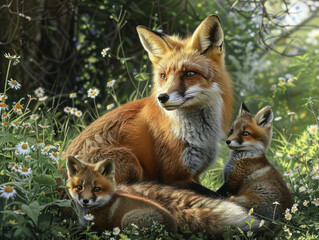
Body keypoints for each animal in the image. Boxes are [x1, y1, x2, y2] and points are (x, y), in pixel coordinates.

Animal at [63, 15, 232, 189]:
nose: (162, 97)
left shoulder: (195, 173)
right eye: (163, 76)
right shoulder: (175, 176)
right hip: (130, 160)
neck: (200, 137)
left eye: (189, 74)